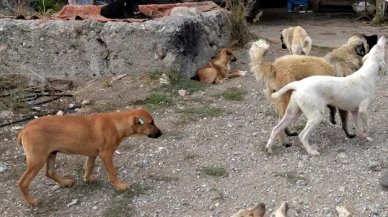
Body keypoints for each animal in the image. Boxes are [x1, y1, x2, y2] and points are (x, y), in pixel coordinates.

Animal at [16, 107, 161, 206]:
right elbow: (113, 173)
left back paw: (66, 182)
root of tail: (24, 130)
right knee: (23, 182)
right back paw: (31, 202)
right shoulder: (106, 154)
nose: (161, 133)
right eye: (151, 123)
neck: (116, 123)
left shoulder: (92, 154)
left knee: (50, 172)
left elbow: (89, 166)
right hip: (37, 160)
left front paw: (87, 179)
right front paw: (120, 186)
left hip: (51, 154)